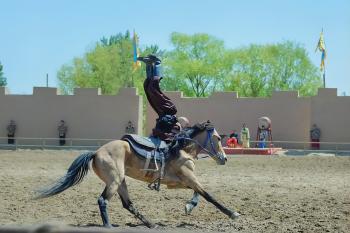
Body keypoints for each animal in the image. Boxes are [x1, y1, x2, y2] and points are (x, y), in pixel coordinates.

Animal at [37, 122, 242, 228]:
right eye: (217, 138)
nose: (224, 158)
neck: (180, 149)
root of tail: (96, 152)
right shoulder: (189, 179)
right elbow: (209, 196)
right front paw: (233, 213)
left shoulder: (179, 182)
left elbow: (198, 194)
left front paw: (189, 206)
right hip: (114, 181)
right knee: (103, 200)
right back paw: (109, 226)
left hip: (121, 182)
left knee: (128, 204)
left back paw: (151, 224)